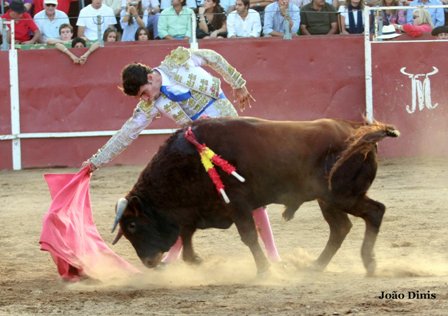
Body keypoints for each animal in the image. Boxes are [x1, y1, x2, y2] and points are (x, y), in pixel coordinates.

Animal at [111, 117, 400, 276]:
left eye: (133, 225)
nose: (148, 262)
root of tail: (359, 132)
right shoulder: (198, 209)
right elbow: (187, 234)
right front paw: (196, 260)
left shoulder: (238, 204)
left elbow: (248, 236)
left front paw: (264, 269)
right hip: (327, 199)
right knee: (340, 227)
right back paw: (316, 266)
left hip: (342, 195)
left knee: (375, 211)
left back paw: (369, 262)